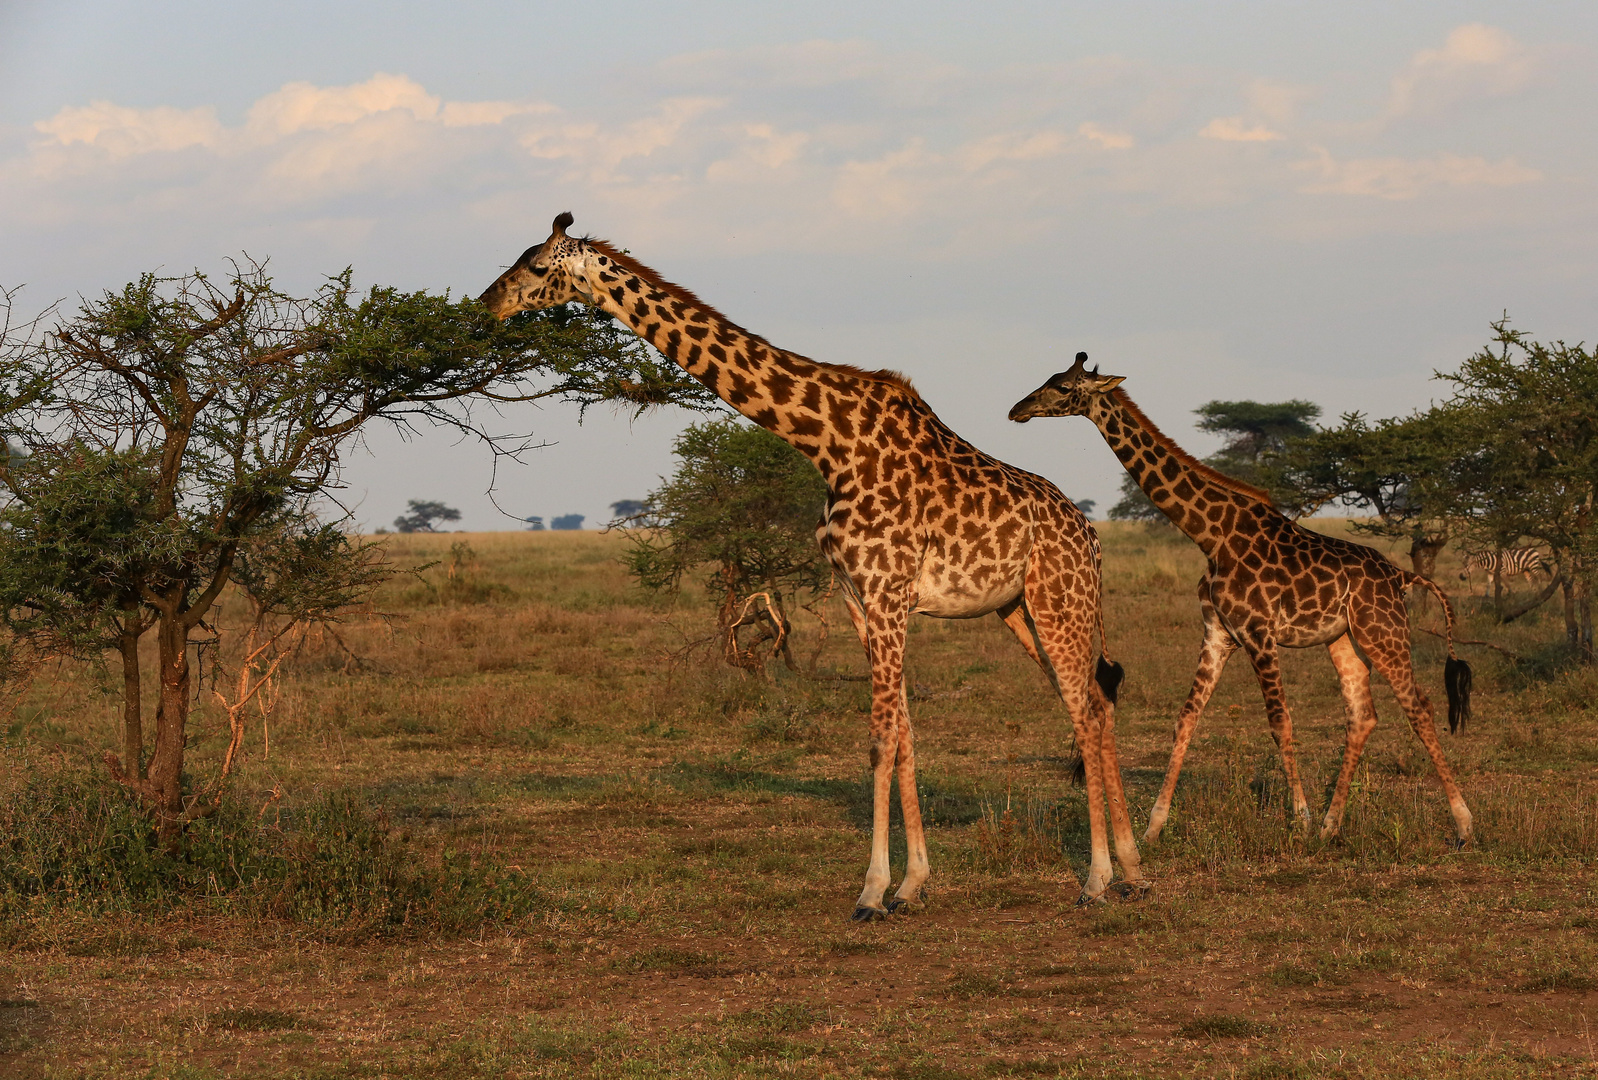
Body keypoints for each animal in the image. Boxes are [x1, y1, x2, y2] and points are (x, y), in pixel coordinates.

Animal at [479, 210, 1144, 913]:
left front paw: (872, 890)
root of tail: (1091, 537)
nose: (486, 303)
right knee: (1093, 704)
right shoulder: (858, 597)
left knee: (1087, 709)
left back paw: (1098, 878)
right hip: (1021, 611)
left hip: (1058, 603)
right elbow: (903, 732)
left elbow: (880, 738)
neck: (829, 442)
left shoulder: (887, 592)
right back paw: (1132, 869)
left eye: (534, 264)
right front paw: (913, 883)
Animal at [1009, 357, 1470, 849]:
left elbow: (1280, 721)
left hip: (1383, 632)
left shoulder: (1259, 633)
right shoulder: (1218, 633)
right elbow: (1186, 719)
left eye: (1063, 387)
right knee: (1362, 715)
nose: (1018, 409)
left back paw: (1462, 824)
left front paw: (1300, 820)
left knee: (1419, 707)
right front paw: (1153, 827)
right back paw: (1332, 826)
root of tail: (1402, 576)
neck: (1212, 535)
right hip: (1344, 639)